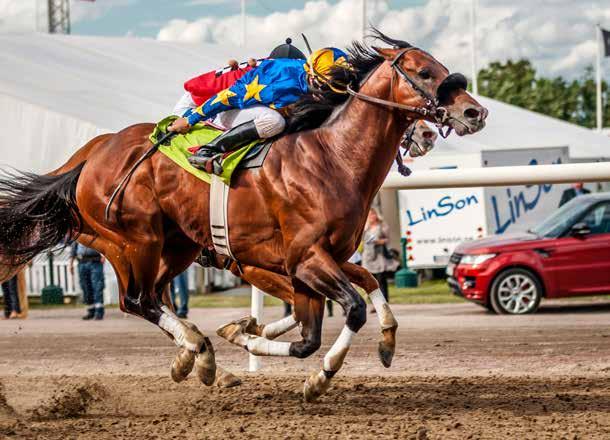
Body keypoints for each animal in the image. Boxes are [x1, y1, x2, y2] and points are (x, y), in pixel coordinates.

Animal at [0, 32, 484, 400]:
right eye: (424, 72)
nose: (474, 111)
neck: (333, 158)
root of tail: (93, 156)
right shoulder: (302, 260)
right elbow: (341, 315)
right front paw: (311, 371)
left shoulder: (319, 259)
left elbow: (358, 291)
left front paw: (383, 342)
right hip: (134, 240)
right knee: (138, 300)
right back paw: (199, 349)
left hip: (171, 247)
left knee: (153, 298)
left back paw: (197, 357)